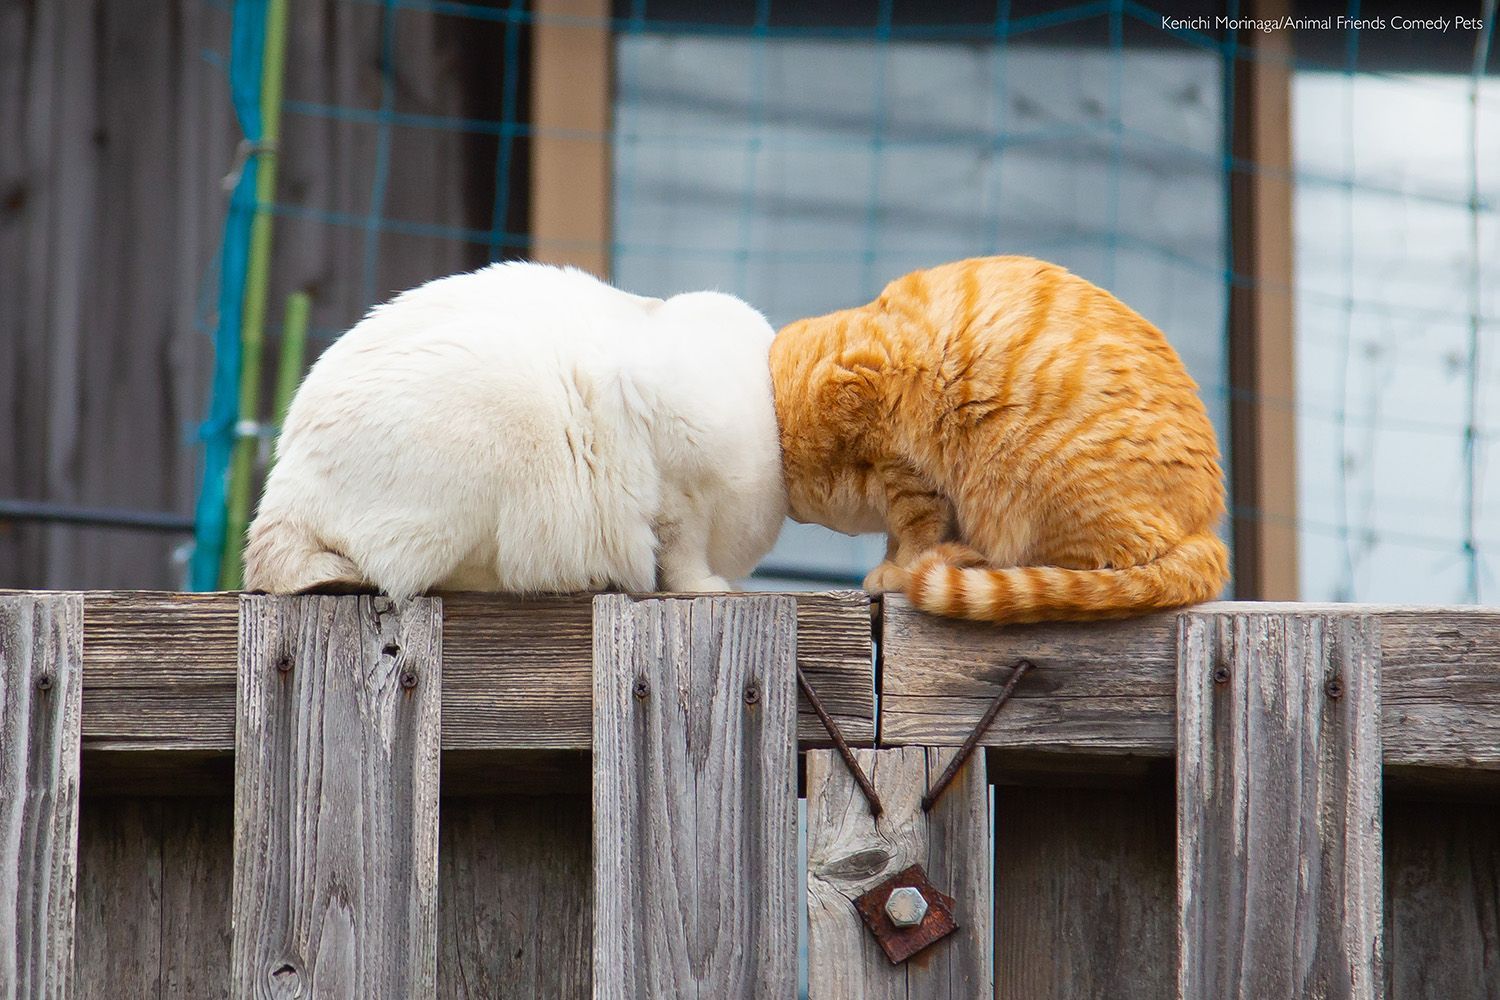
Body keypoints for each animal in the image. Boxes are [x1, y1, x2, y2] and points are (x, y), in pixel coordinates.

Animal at [246, 260, 786, 602]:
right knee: (429, 576)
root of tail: (278, 505)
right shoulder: (677, 481)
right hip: (504, 431)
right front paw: (710, 588)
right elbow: (681, 557)